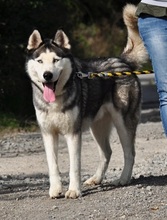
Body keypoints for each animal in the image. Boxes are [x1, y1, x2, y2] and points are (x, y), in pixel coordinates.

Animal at [25, 4, 148, 199]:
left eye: (56, 60)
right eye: (40, 61)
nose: (47, 75)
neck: (55, 101)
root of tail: (122, 60)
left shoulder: (73, 134)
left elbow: (74, 166)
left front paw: (74, 190)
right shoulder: (48, 134)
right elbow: (53, 166)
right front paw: (55, 190)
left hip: (123, 123)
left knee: (130, 153)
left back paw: (123, 179)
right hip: (97, 127)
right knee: (107, 152)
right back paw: (96, 179)